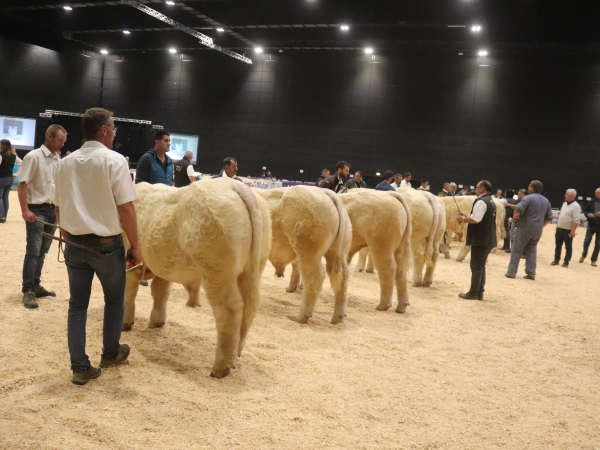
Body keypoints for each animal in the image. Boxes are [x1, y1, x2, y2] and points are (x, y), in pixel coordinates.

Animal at [123, 178, 270, 378]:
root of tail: (234, 184)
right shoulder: (164, 266)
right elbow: (160, 292)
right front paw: (157, 321)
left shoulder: (129, 264)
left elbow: (128, 294)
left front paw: (125, 323)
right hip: (253, 267)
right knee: (250, 306)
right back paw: (235, 355)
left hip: (217, 272)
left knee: (229, 309)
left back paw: (220, 367)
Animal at [256, 185, 352, 324]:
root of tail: (326, 192)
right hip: (339, 252)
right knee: (342, 276)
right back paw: (337, 317)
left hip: (308, 253)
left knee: (314, 278)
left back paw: (301, 317)